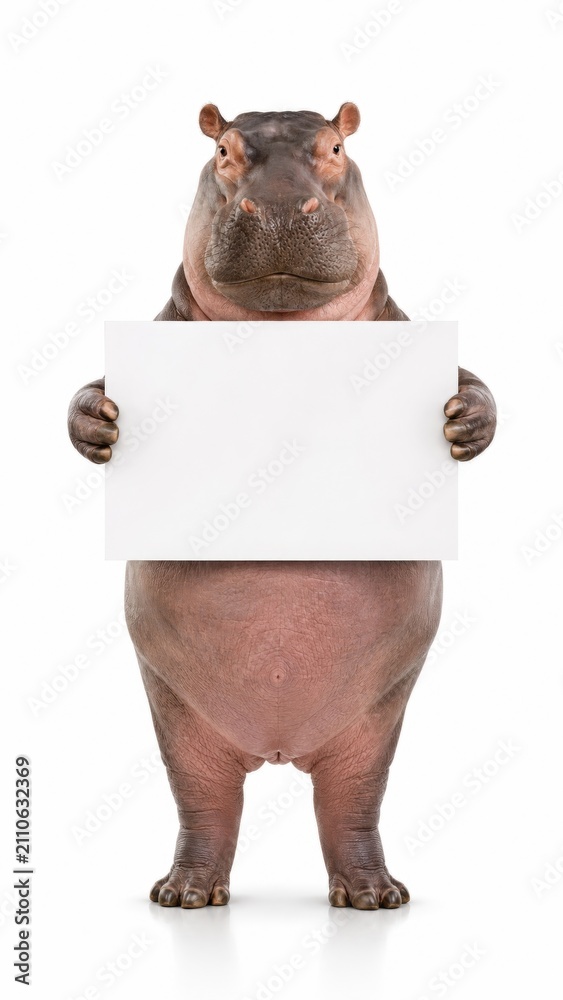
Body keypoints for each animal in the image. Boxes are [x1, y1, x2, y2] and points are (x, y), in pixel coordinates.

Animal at [68, 103, 496, 910]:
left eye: (334, 147)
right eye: (224, 150)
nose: (272, 205)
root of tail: (277, 747)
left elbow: (472, 381)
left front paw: (463, 424)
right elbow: (91, 388)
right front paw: (100, 425)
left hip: (376, 724)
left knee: (353, 807)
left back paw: (372, 896)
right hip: (176, 718)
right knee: (202, 807)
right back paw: (185, 894)